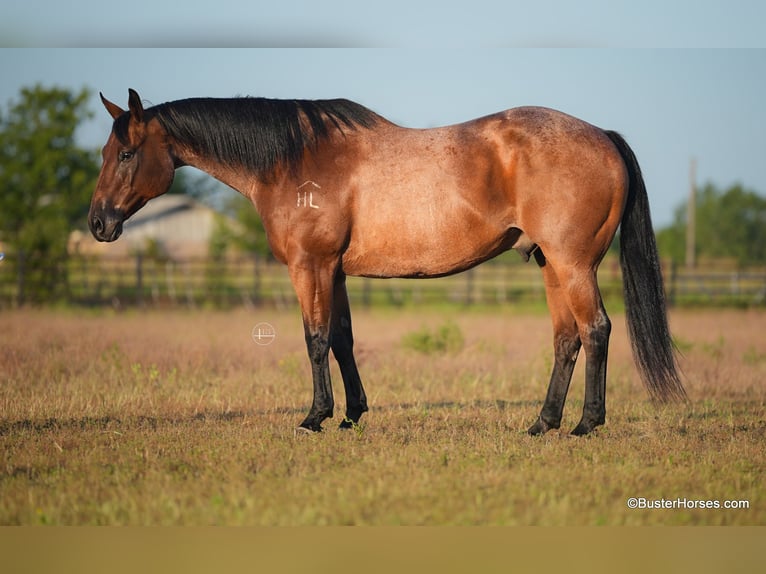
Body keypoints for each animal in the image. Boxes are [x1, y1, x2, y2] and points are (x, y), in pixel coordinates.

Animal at [90, 89, 688, 436]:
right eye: (104, 153)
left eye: (126, 154)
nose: (98, 223)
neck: (293, 162)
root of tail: (602, 136)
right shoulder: (334, 270)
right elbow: (343, 339)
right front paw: (352, 414)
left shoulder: (310, 266)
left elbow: (314, 339)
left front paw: (315, 417)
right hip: (549, 265)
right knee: (566, 339)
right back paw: (543, 423)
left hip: (573, 264)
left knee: (596, 330)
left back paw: (586, 424)